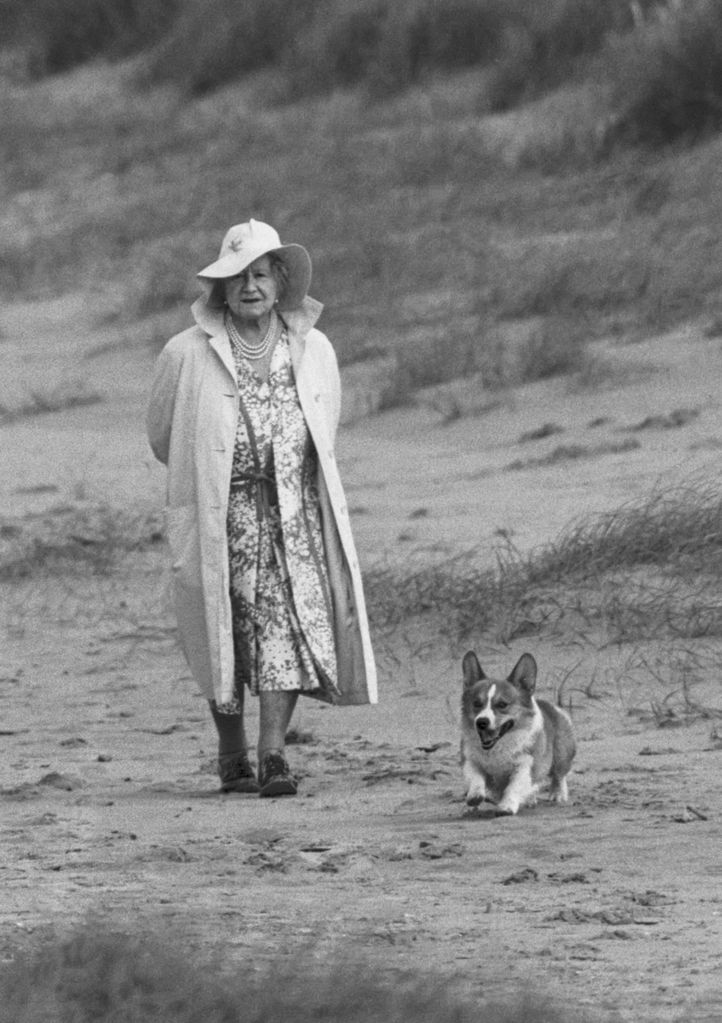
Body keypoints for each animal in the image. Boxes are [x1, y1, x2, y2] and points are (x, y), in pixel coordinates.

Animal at [462, 654, 572, 814]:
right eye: (476, 703)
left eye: (502, 704)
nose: (481, 722)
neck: (499, 745)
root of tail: (551, 707)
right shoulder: (471, 761)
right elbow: (475, 778)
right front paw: (474, 797)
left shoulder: (525, 765)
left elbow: (514, 787)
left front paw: (507, 806)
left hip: (561, 754)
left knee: (559, 775)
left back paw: (558, 794)